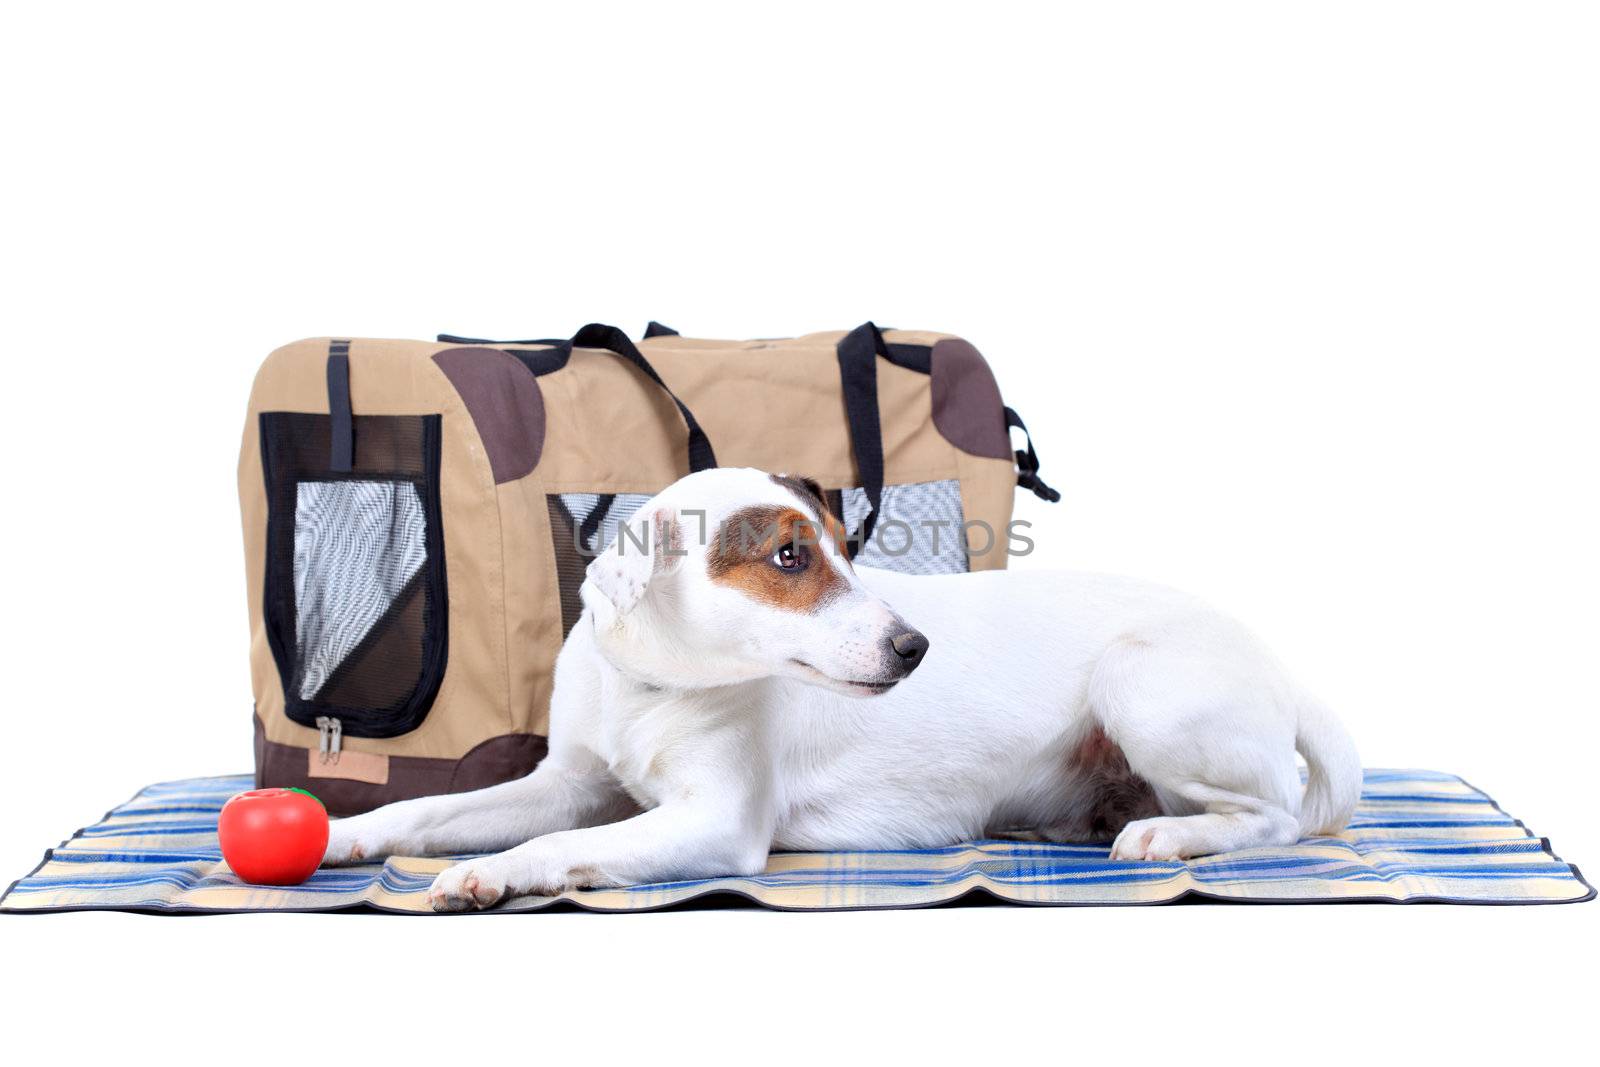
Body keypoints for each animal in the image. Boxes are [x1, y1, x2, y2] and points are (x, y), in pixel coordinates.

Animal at [324, 467, 1363, 908]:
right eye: (789, 556)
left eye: (844, 549)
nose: (915, 647)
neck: (651, 686)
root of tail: (1280, 661)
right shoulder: (568, 782)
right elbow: (431, 811)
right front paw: (344, 833)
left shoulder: (717, 820)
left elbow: (559, 845)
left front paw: (495, 871)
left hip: (1140, 679)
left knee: (1275, 817)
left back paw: (1165, 835)